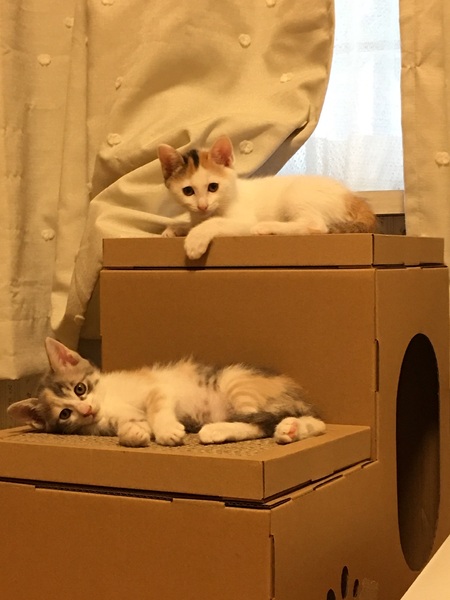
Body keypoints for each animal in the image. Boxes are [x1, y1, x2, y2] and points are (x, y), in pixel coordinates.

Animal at [7, 338, 325, 448]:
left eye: (80, 388)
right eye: (65, 414)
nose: (86, 410)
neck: (108, 403)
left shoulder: (156, 387)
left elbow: (157, 407)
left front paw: (166, 431)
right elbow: (131, 426)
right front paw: (135, 434)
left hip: (234, 381)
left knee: (267, 421)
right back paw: (288, 429)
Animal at [158, 135, 377, 259]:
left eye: (213, 187)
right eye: (188, 191)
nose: (203, 206)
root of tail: (351, 196)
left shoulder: (242, 220)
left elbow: (214, 223)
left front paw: (195, 240)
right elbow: (192, 223)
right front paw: (174, 229)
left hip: (295, 194)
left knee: (315, 225)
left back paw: (266, 227)